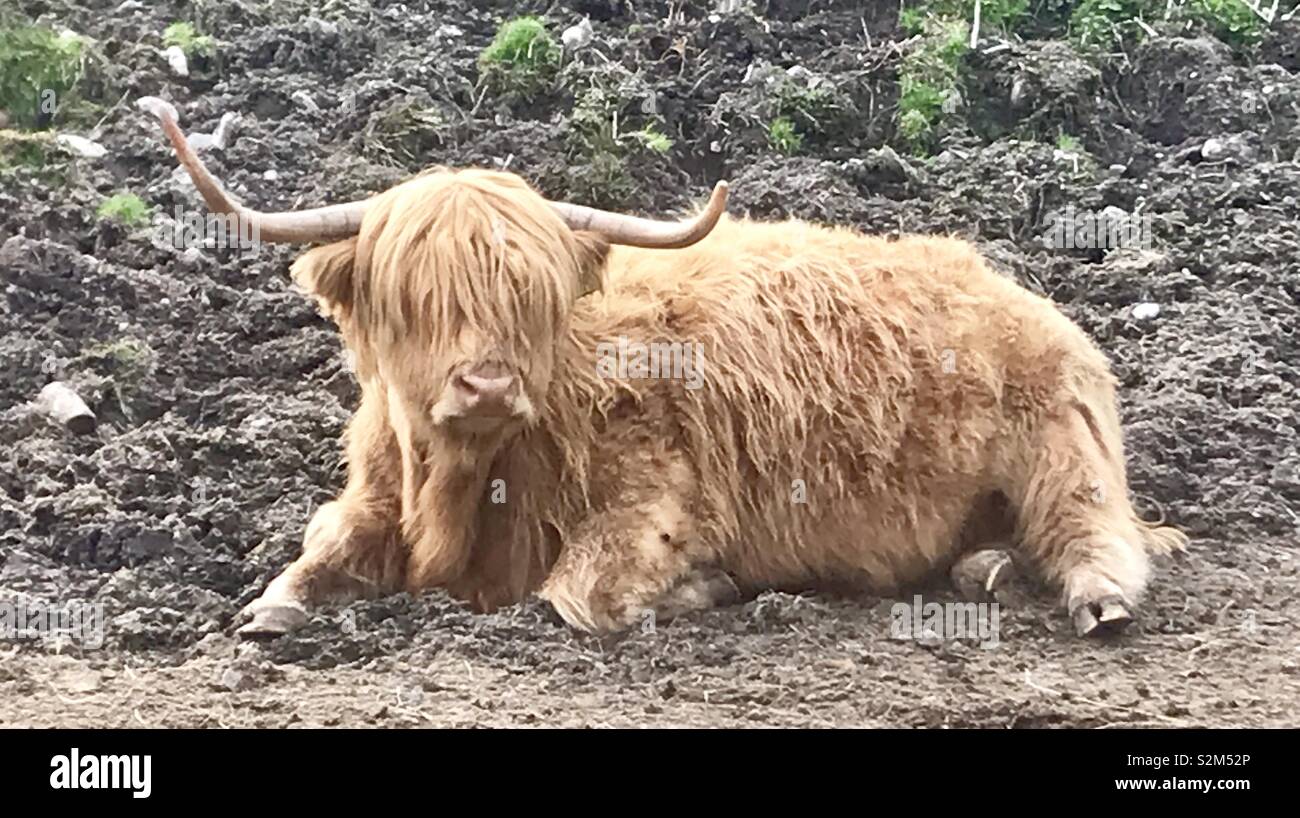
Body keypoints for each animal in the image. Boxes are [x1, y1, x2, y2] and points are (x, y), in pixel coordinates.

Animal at [144, 102, 1190, 637]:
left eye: (530, 292)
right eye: (418, 291)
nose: (486, 385)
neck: (463, 484)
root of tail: (1006, 283)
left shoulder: (652, 507)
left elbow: (579, 599)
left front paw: (713, 587)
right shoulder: (368, 497)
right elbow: (308, 561)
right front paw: (273, 609)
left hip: (1062, 446)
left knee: (1097, 534)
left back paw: (1094, 600)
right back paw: (985, 569)